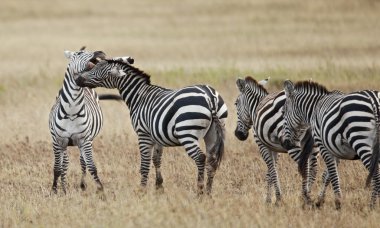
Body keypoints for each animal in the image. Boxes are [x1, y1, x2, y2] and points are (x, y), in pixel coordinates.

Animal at [49, 48, 134, 196]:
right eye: (78, 54)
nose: (100, 52)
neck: (71, 111)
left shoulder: (85, 141)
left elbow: (92, 166)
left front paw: (100, 189)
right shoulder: (57, 141)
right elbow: (57, 168)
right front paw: (54, 191)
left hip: (87, 141)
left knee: (82, 163)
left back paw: (82, 185)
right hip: (64, 145)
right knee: (64, 164)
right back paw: (64, 188)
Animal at [74, 58, 229, 194]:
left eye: (96, 70)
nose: (77, 79)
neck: (138, 96)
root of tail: (209, 97)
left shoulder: (143, 134)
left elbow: (145, 164)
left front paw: (142, 190)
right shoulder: (157, 134)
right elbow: (156, 160)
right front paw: (159, 187)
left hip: (187, 134)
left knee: (200, 158)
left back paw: (200, 191)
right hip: (212, 134)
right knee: (211, 160)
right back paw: (208, 192)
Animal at [235, 76, 318, 205]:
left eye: (236, 104)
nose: (238, 135)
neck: (256, 107)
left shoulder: (262, 145)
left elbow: (272, 170)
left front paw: (278, 198)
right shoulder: (274, 148)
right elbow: (270, 172)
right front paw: (268, 199)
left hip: (292, 143)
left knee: (305, 167)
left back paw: (304, 197)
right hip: (313, 145)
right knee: (313, 168)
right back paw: (308, 195)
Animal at [282, 79, 380, 208]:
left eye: (283, 112)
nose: (286, 144)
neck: (314, 108)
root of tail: (373, 99)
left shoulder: (323, 145)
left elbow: (333, 174)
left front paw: (338, 202)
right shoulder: (335, 149)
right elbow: (327, 175)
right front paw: (320, 200)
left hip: (360, 140)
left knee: (376, 175)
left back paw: (372, 206)